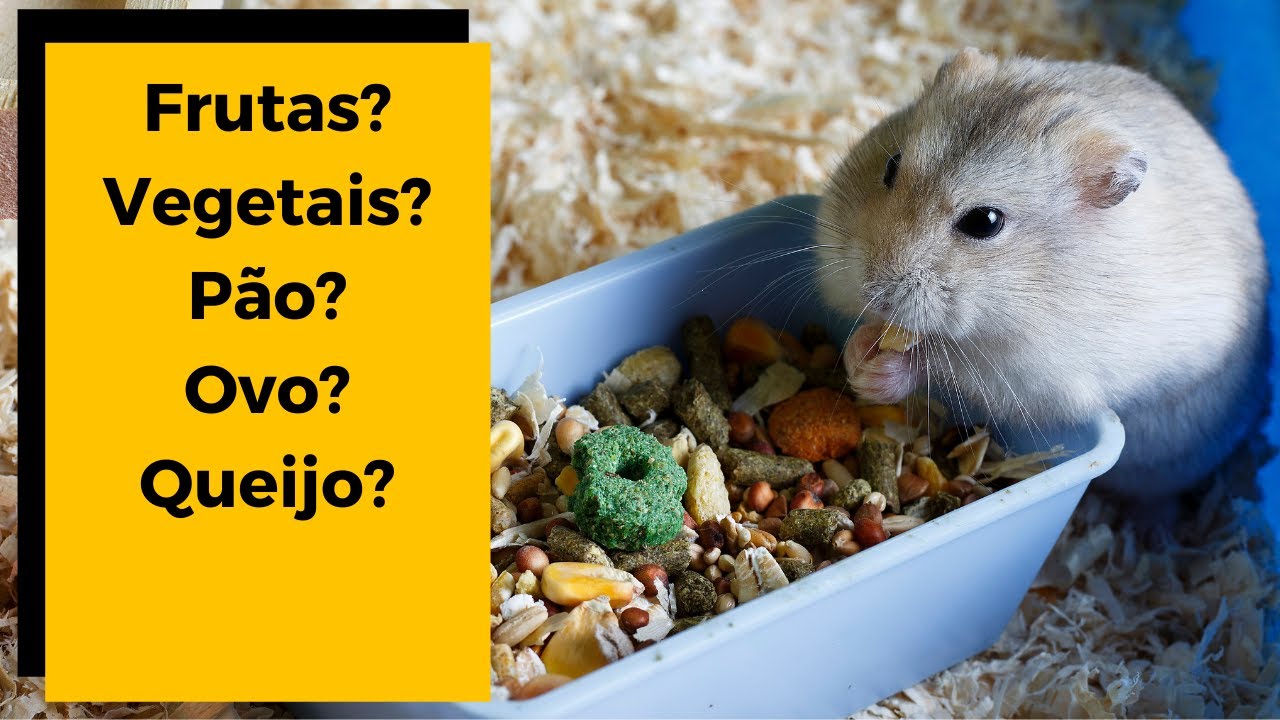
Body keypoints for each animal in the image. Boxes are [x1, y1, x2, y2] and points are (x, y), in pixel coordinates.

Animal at [815, 48, 1270, 497]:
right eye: (891, 165)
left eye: (986, 221)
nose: (872, 290)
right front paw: (859, 352)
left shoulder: (1032, 378)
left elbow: (940, 364)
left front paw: (878, 371)